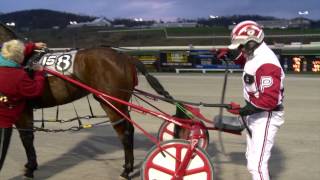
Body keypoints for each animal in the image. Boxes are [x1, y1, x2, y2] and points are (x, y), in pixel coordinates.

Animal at [0, 23, 170, 179]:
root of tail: (124, 56)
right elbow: (27, 137)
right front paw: (31, 165)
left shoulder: (21, 109)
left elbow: (26, 138)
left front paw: (30, 168)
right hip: (120, 103)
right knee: (129, 129)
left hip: (111, 102)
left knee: (125, 133)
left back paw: (127, 170)